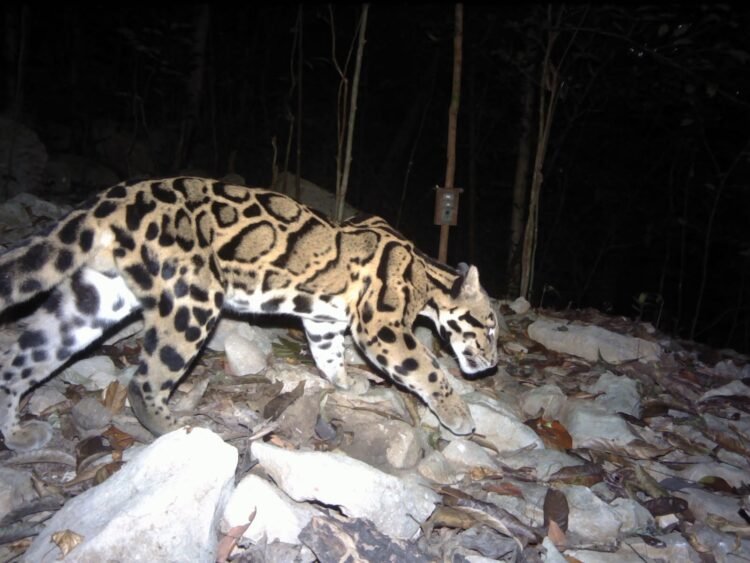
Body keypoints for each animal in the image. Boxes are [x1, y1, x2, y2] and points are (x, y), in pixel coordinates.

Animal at [0, 177, 498, 451]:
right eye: (491, 329)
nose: (493, 363)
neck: (427, 272)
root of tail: (112, 198)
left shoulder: (324, 320)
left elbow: (328, 355)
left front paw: (344, 381)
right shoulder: (382, 326)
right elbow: (428, 371)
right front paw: (458, 414)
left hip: (93, 299)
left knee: (19, 360)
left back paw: (15, 435)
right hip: (193, 298)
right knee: (145, 381)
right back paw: (173, 426)